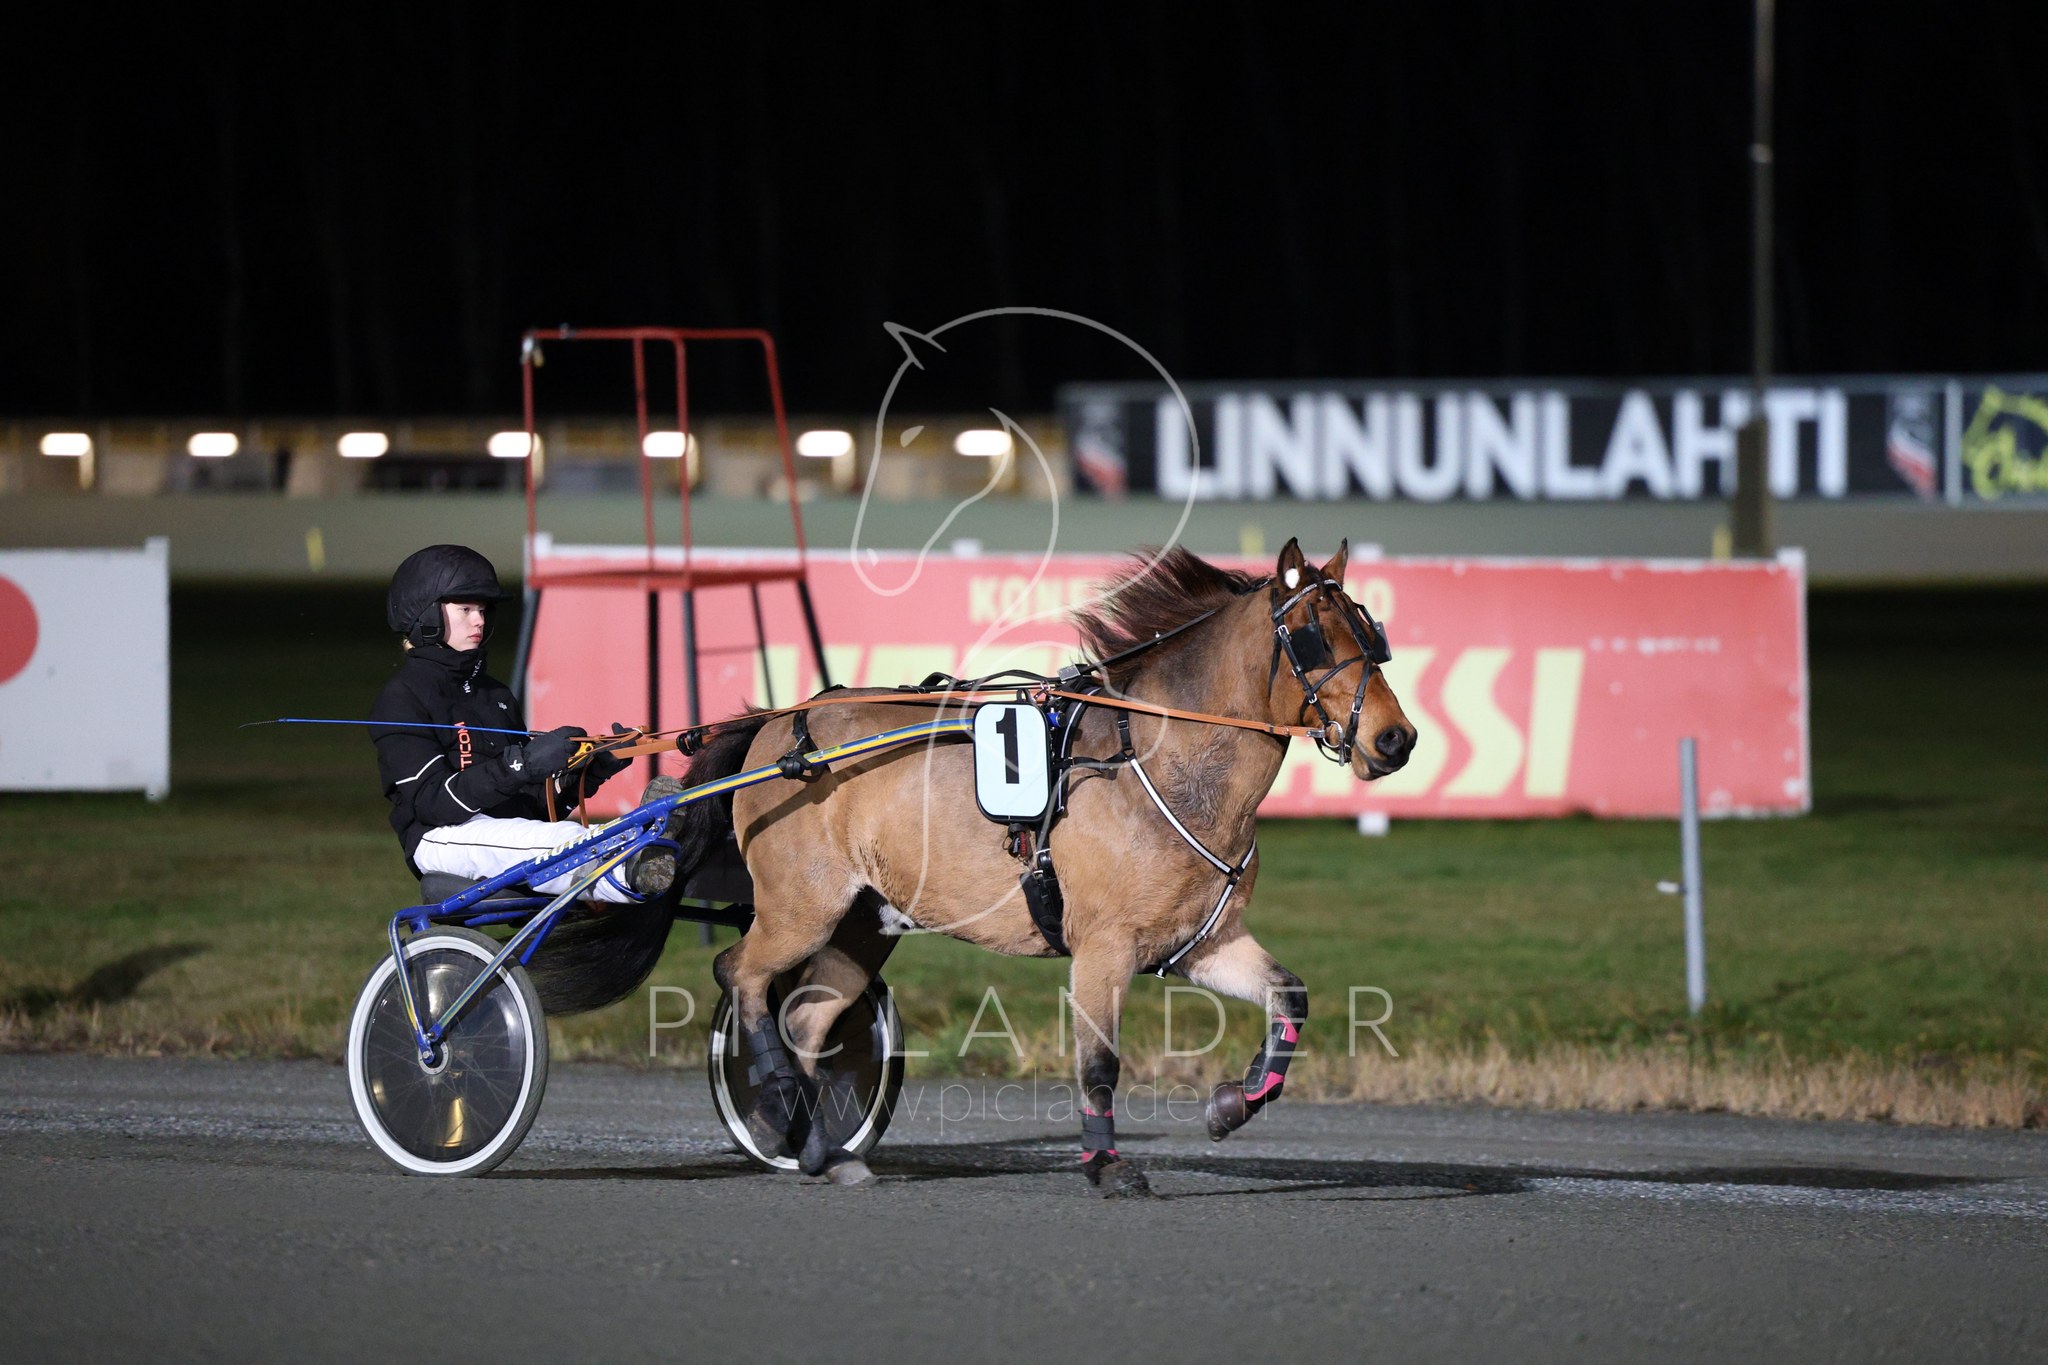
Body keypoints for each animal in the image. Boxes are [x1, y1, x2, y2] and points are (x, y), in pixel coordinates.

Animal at [672, 538, 1416, 1195]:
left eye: (1371, 633)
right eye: (1315, 638)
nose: (1396, 739)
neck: (1157, 768)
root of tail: (780, 722)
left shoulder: (1203, 943)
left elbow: (1290, 995)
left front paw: (1232, 1104)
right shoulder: (1103, 947)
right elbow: (1100, 1064)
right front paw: (1107, 1164)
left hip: (863, 922)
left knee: (804, 1017)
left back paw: (824, 1149)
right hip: (803, 906)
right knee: (740, 974)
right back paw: (782, 1112)